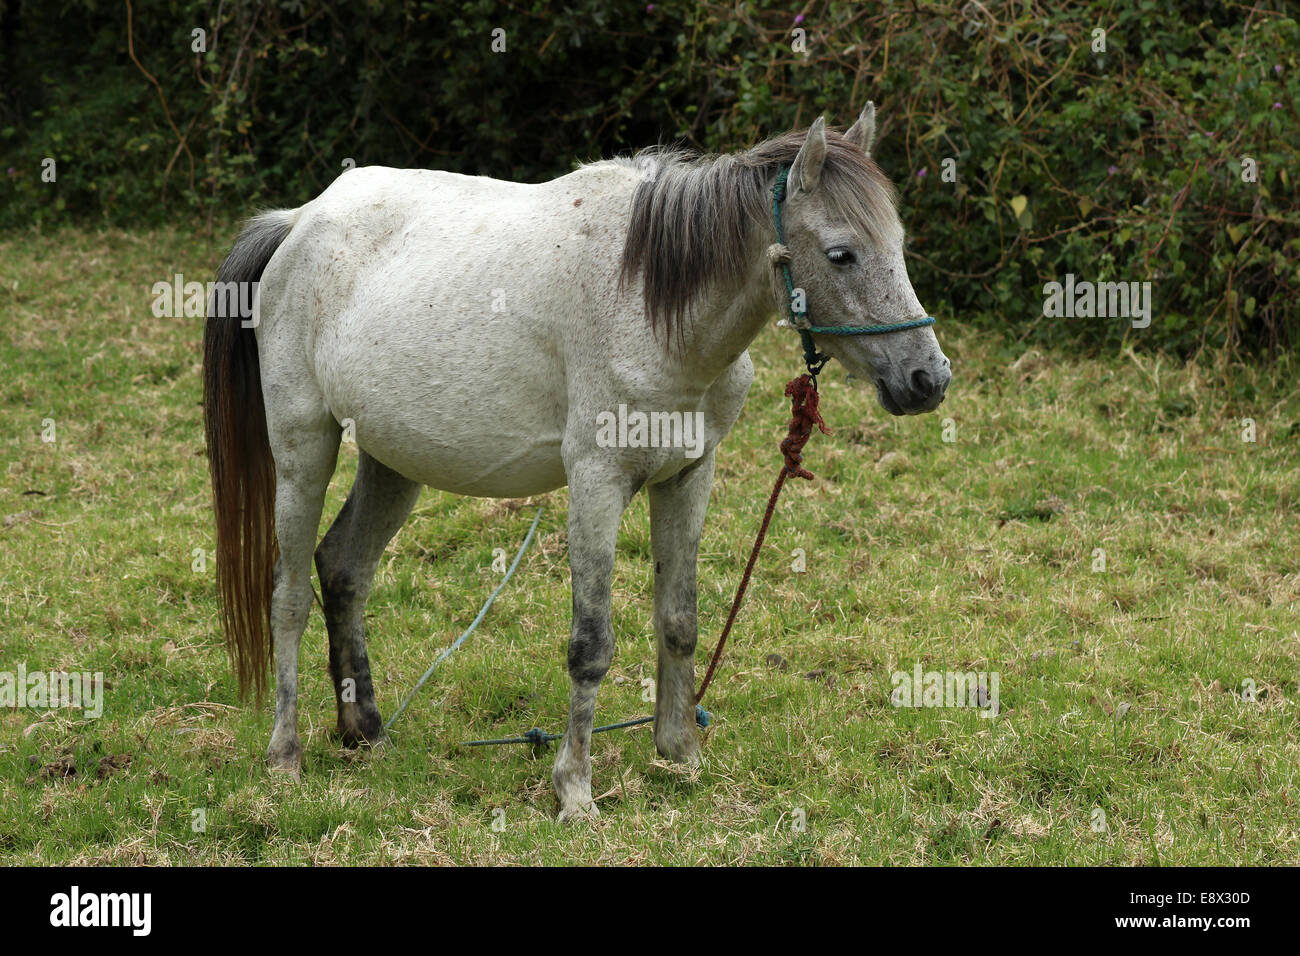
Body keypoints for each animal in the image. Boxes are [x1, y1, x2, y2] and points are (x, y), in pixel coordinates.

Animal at [205, 104, 956, 822]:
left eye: (898, 246)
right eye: (841, 254)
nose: (927, 379)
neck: (650, 301)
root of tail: (300, 221)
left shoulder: (689, 476)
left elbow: (679, 622)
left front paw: (680, 755)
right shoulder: (597, 484)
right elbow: (591, 646)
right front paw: (575, 791)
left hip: (394, 461)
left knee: (344, 570)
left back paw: (364, 729)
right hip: (305, 447)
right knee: (289, 595)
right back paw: (285, 755)